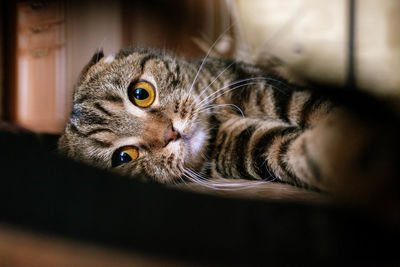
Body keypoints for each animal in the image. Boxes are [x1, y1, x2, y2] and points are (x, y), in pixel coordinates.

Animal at [57, 47, 400, 221]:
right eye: (123, 157)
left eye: (140, 93)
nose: (170, 133)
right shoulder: (248, 144)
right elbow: (288, 152)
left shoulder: (264, 86)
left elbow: (315, 107)